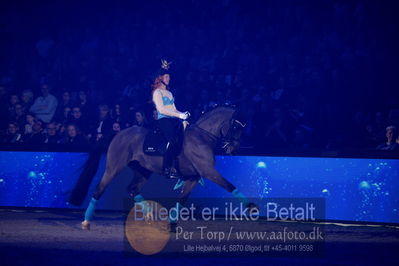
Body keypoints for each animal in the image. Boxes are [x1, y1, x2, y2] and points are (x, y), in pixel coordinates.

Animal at [67, 106, 252, 229]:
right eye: (235, 126)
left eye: (244, 127)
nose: (233, 149)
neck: (202, 137)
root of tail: (119, 133)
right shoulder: (207, 171)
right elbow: (229, 186)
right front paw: (252, 208)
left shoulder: (194, 177)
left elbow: (181, 199)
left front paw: (172, 223)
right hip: (114, 167)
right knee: (100, 188)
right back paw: (86, 221)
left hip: (143, 170)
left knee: (132, 189)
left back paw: (150, 214)